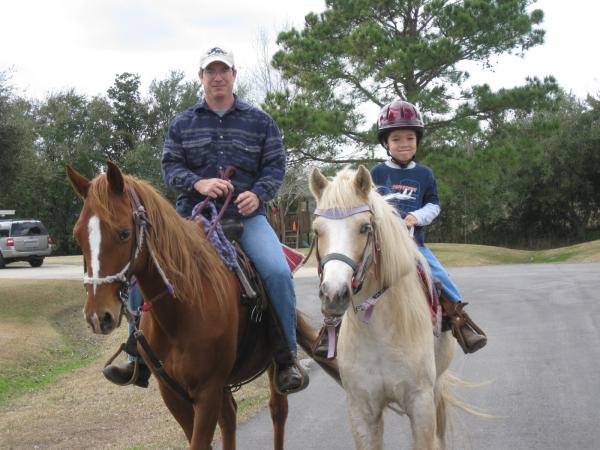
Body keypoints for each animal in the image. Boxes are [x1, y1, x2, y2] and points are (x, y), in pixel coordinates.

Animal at [65, 163, 324, 450]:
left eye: (124, 233)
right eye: (77, 236)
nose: (98, 316)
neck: (180, 312)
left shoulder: (207, 391)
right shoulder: (172, 393)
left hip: (271, 368)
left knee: (277, 411)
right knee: (230, 417)